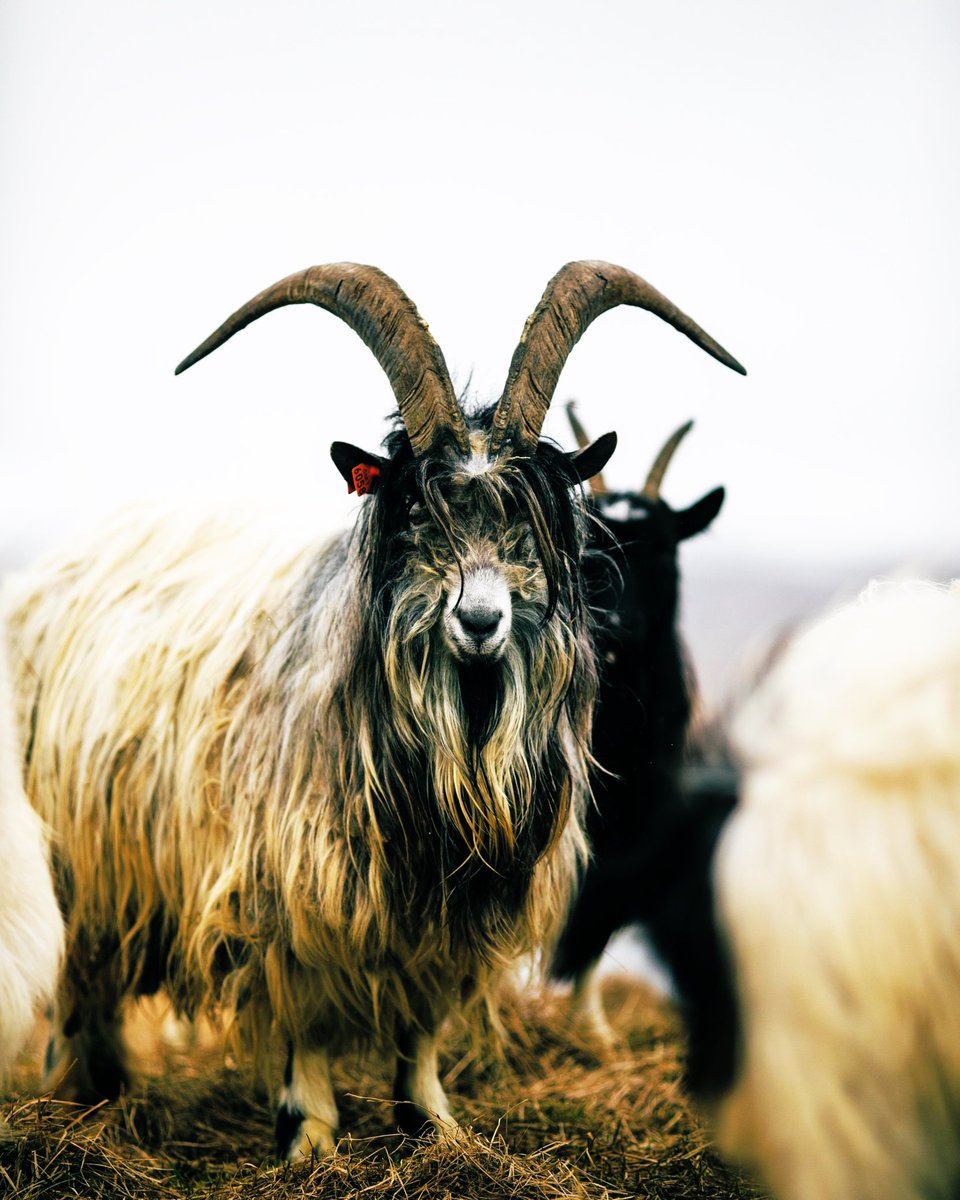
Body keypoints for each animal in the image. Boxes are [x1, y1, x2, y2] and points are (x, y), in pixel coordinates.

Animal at [550, 410, 725, 1045]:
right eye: (590, 545)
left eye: (667, 550)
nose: (615, 627)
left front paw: (594, 1030)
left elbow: (599, 915)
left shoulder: (641, 825)